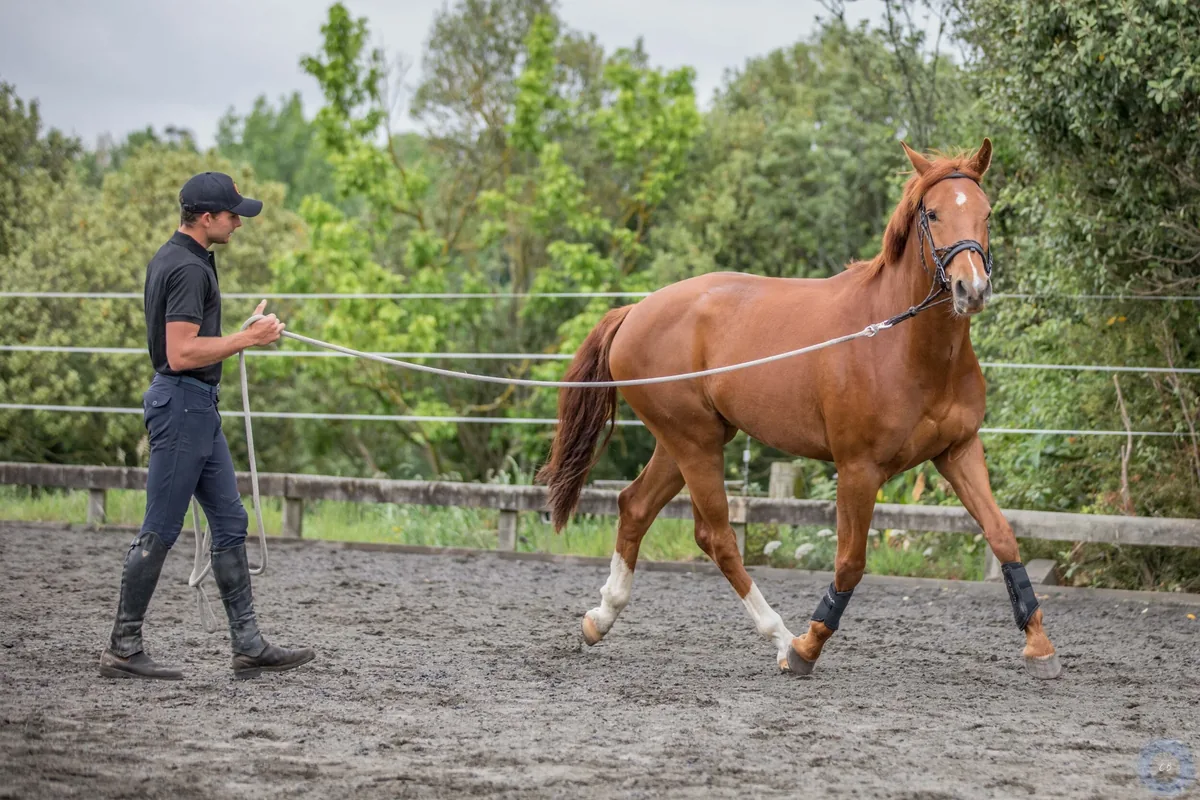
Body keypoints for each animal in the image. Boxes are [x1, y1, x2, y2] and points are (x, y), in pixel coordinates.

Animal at [535, 137, 1062, 680]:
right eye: (932, 214)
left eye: (986, 213)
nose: (971, 290)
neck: (902, 345)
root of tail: (634, 311)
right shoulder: (858, 469)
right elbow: (850, 562)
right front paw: (807, 647)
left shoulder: (958, 451)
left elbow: (1003, 535)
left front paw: (1039, 645)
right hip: (693, 442)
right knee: (717, 536)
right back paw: (779, 636)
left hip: (689, 440)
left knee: (635, 506)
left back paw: (599, 618)